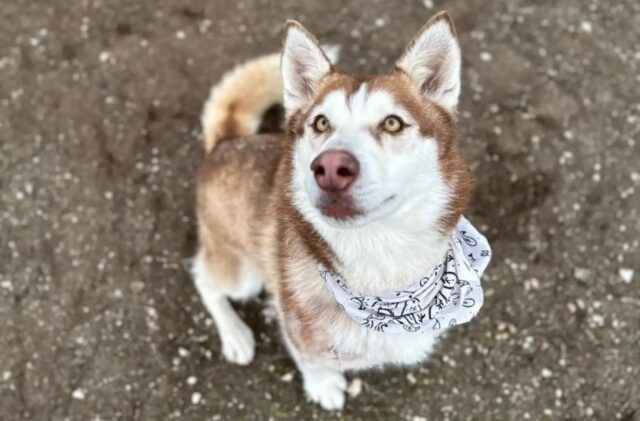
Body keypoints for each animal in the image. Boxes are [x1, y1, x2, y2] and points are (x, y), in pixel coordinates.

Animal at [191, 11, 490, 408]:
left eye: (392, 122)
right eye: (321, 122)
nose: (330, 167)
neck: (383, 270)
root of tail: (226, 141)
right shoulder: (303, 336)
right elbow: (310, 359)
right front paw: (323, 385)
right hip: (241, 273)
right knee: (204, 279)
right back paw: (235, 334)